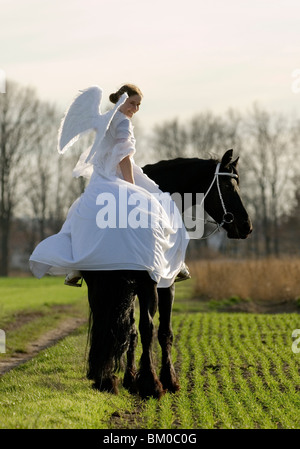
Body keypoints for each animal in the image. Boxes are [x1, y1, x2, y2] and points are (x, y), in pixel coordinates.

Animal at [81, 149, 252, 398]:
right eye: (228, 186)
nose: (247, 225)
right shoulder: (146, 284)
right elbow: (146, 329)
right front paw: (151, 383)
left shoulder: (165, 284)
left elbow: (163, 331)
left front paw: (167, 379)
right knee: (112, 326)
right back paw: (110, 378)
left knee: (119, 328)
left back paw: (121, 378)